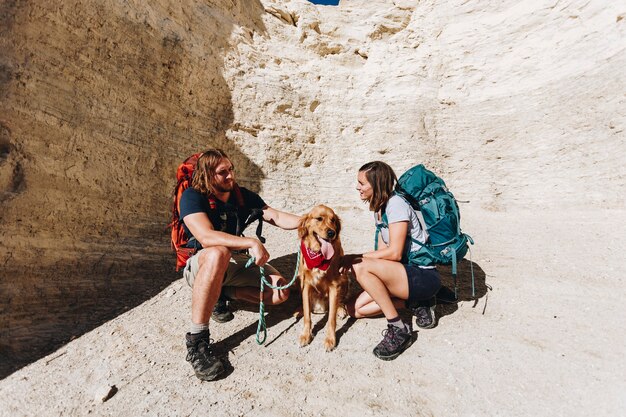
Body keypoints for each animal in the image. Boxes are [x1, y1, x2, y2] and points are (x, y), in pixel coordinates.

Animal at [296, 203, 348, 350]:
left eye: (333, 220)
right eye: (319, 218)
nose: (332, 233)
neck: (318, 253)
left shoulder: (334, 285)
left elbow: (331, 319)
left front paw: (330, 339)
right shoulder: (305, 284)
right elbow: (307, 315)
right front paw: (306, 335)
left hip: (345, 277)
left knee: (341, 301)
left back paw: (341, 309)